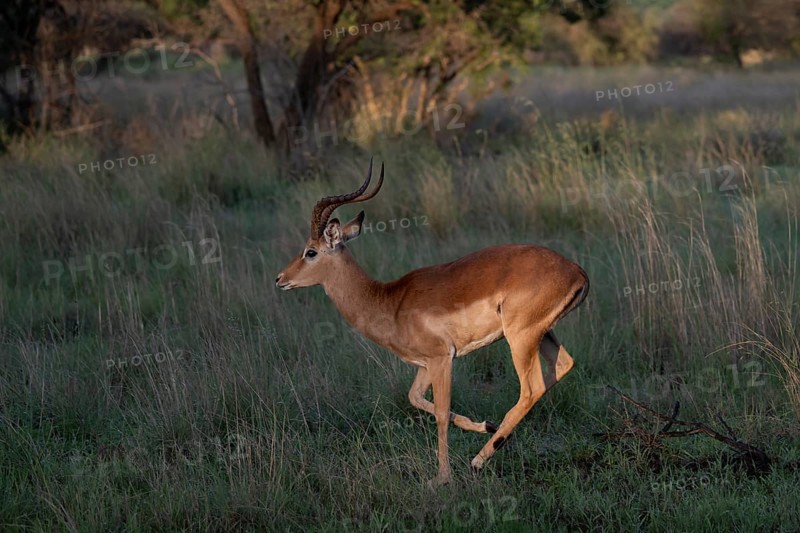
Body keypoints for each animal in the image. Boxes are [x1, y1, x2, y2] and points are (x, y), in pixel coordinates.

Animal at [275, 159, 589, 487]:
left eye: (310, 251)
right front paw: (483, 425)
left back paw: (478, 460)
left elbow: (440, 412)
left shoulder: (442, 359)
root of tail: (576, 271)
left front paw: (442, 478)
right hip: (542, 332)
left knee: (532, 388)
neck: (388, 301)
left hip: (521, 338)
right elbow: (415, 398)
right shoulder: (425, 365)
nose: (280, 279)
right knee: (563, 366)